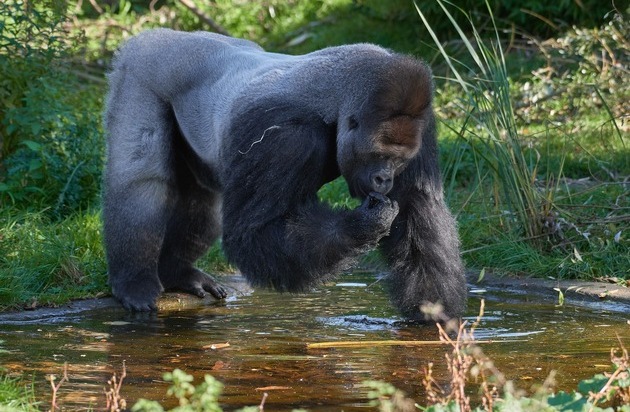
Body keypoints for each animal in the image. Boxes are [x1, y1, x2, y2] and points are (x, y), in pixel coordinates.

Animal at [103, 28, 470, 322]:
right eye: (379, 156)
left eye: (398, 160)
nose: (385, 180)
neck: (336, 101)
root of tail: (157, 36)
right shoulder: (284, 136)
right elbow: (256, 230)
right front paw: (361, 225)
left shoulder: (423, 122)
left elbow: (418, 208)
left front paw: (435, 311)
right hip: (143, 71)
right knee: (142, 182)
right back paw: (135, 280)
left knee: (202, 197)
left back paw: (177, 272)